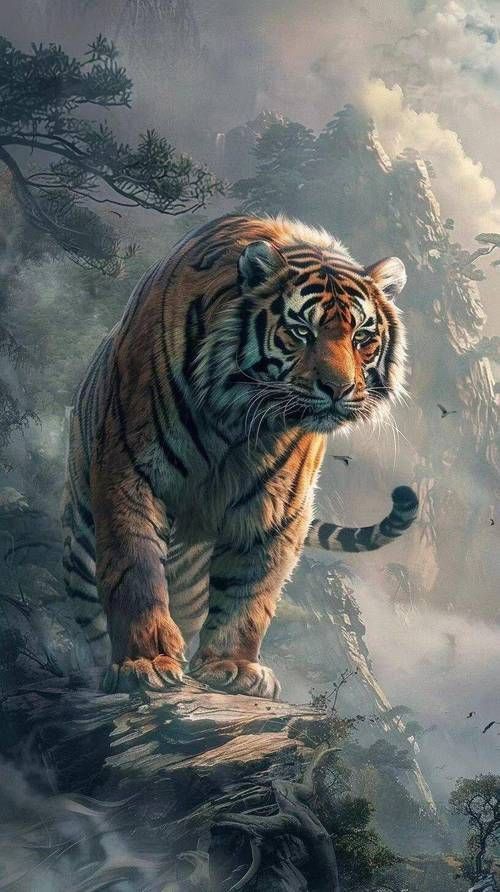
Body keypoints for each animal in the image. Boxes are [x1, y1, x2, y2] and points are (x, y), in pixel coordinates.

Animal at [62, 213, 417, 700]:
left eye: (362, 337)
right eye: (302, 331)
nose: (339, 389)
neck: (237, 417)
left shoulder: (277, 505)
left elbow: (251, 589)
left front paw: (232, 667)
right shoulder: (128, 471)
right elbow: (135, 570)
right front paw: (145, 662)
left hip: (191, 573)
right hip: (81, 547)